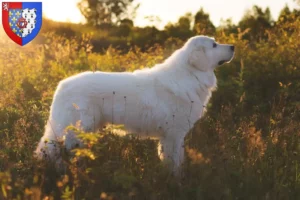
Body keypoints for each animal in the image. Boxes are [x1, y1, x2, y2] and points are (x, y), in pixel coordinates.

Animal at [35, 36, 234, 172]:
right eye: (214, 45)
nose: (233, 46)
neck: (190, 73)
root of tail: (62, 85)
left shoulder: (169, 136)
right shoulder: (174, 134)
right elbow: (175, 162)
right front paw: (177, 182)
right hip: (76, 129)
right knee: (56, 151)